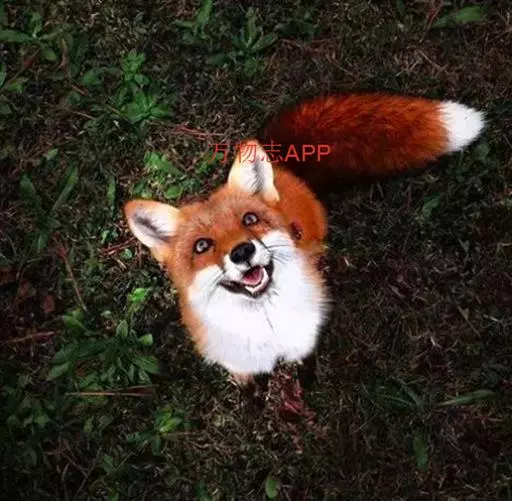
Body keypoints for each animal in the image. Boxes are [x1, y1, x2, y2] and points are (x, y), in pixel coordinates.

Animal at [124, 92, 485, 384]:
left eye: (249, 220)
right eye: (202, 246)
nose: (242, 251)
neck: (267, 329)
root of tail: (282, 165)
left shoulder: (303, 343)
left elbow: (304, 368)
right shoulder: (239, 363)